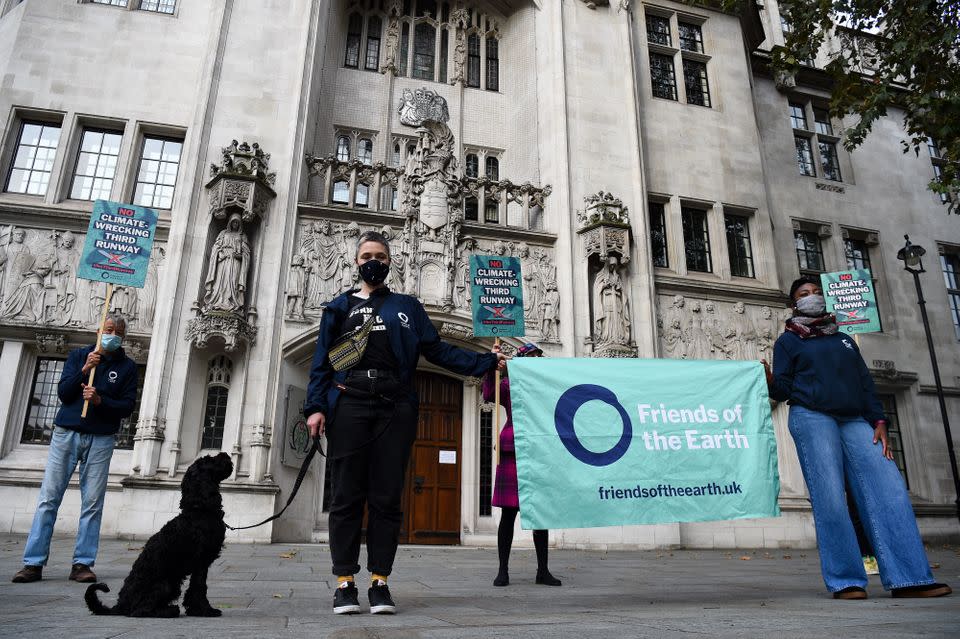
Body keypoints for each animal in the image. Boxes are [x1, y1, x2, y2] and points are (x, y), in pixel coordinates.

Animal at [86, 452, 236, 616]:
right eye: (209, 459)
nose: (225, 454)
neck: (198, 511)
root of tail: (121, 605)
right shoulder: (201, 562)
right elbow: (200, 587)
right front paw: (205, 610)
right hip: (165, 584)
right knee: (140, 610)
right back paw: (168, 611)